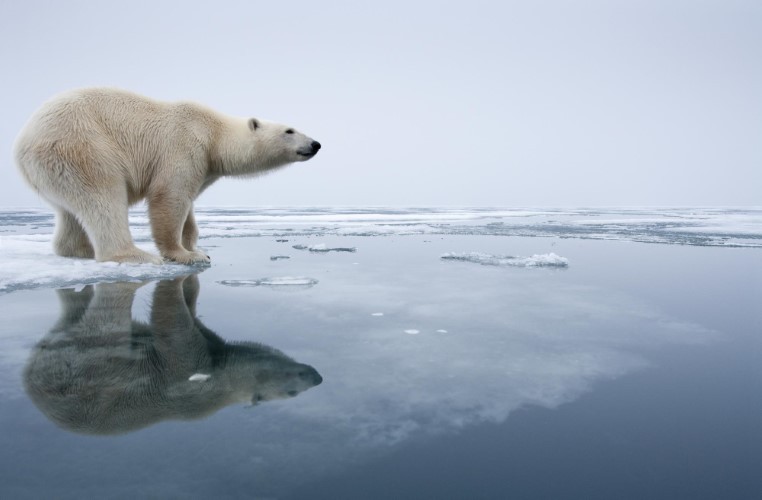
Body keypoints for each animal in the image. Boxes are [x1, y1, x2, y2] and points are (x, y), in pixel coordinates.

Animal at [14, 88, 318, 266]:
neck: (213, 133)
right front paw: (185, 255)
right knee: (104, 196)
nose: (315, 144)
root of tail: (22, 144)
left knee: (70, 210)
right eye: (290, 130)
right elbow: (169, 197)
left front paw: (198, 247)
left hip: (55, 169)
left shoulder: (203, 166)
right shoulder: (184, 145)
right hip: (82, 147)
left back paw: (79, 250)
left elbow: (189, 206)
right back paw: (135, 255)